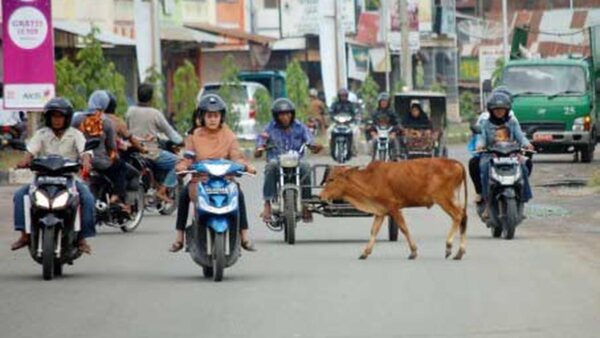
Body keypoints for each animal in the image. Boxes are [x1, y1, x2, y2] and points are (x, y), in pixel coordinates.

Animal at [322, 159, 466, 262]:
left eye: (331, 179)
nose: (321, 196)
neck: (370, 180)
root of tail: (454, 162)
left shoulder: (394, 208)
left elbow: (404, 228)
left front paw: (413, 252)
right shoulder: (380, 211)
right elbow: (373, 231)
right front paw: (365, 253)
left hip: (444, 199)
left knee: (458, 216)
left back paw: (449, 247)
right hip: (452, 198)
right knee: (463, 217)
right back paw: (459, 253)